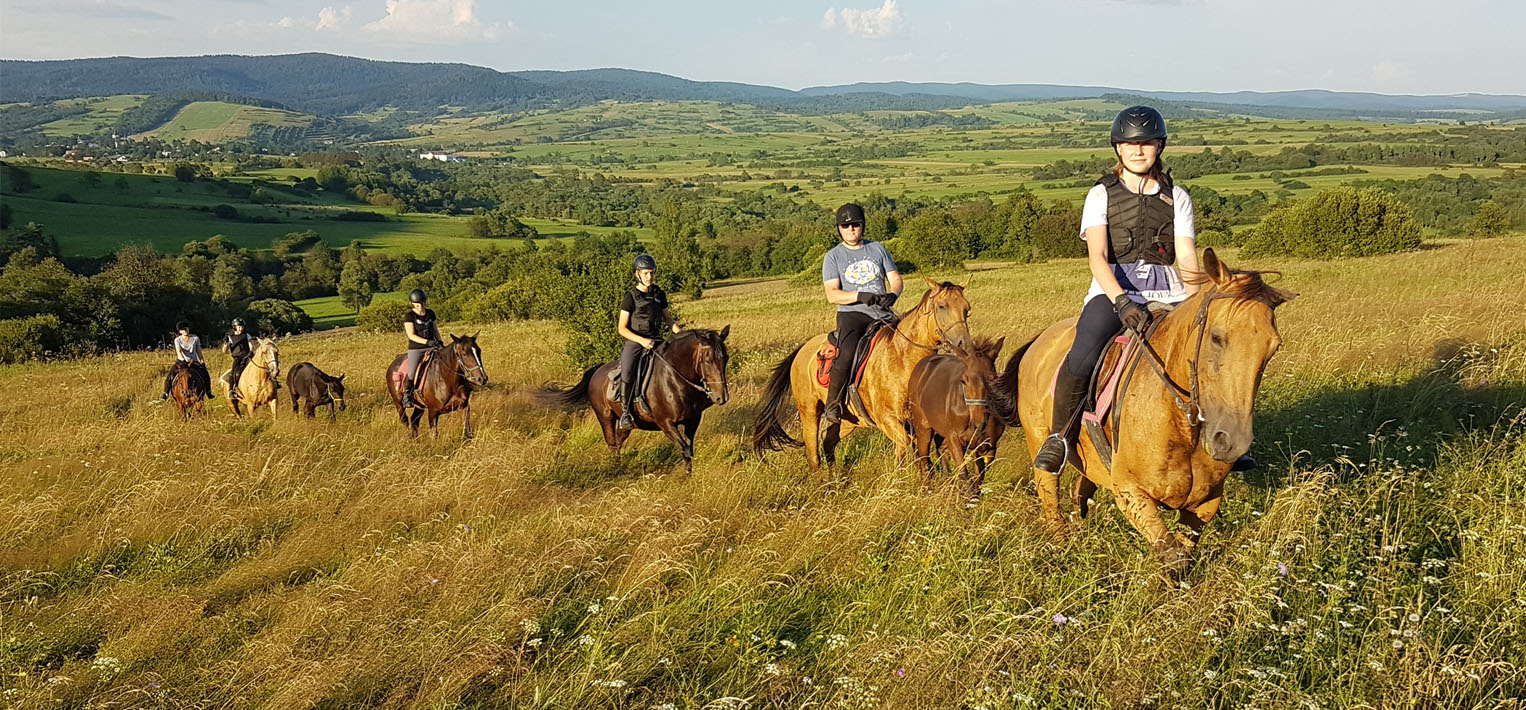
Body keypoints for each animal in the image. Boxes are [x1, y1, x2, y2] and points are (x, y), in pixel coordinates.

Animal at [534, 328, 729, 476]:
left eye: (725, 358)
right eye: (707, 359)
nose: (721, 397)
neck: (674, 379)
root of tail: (597, 370)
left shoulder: (692, 421)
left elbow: (689, 448)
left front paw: (689, 475)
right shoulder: (666, 423)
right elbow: (685, 448)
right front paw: (686, 478)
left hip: (627, 424)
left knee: (619, 441)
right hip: (605, 417)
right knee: (612, 443)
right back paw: (615, 470)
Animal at [753, 276, 976, 470]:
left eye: (967, 309)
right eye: (942, 306)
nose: (963, 345)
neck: (902, 357)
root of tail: (802, 350)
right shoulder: (885, 418)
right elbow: (905, 445)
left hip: (847, 420)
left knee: (828, 441)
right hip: (809, 412)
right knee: (813, 453)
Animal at [903, 334, 1013, 494]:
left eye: (993, 379)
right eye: (964, 381)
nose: (978, 424)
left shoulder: (989, 446)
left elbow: (977, 479)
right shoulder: (954, 438)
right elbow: (964, 475)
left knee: (941, 451)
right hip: (923, 427)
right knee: (923, 459)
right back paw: (928, 490)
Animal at [1007, 247, 1294, 571]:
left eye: (1273, 348)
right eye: (1216, 337)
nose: (1230, 443)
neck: (1180, 421)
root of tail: (1040, 339)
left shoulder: (1206, 504)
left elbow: (1182, 556)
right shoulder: (1132, 494)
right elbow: (1172, 557)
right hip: (1038, 440)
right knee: (1049, 495)